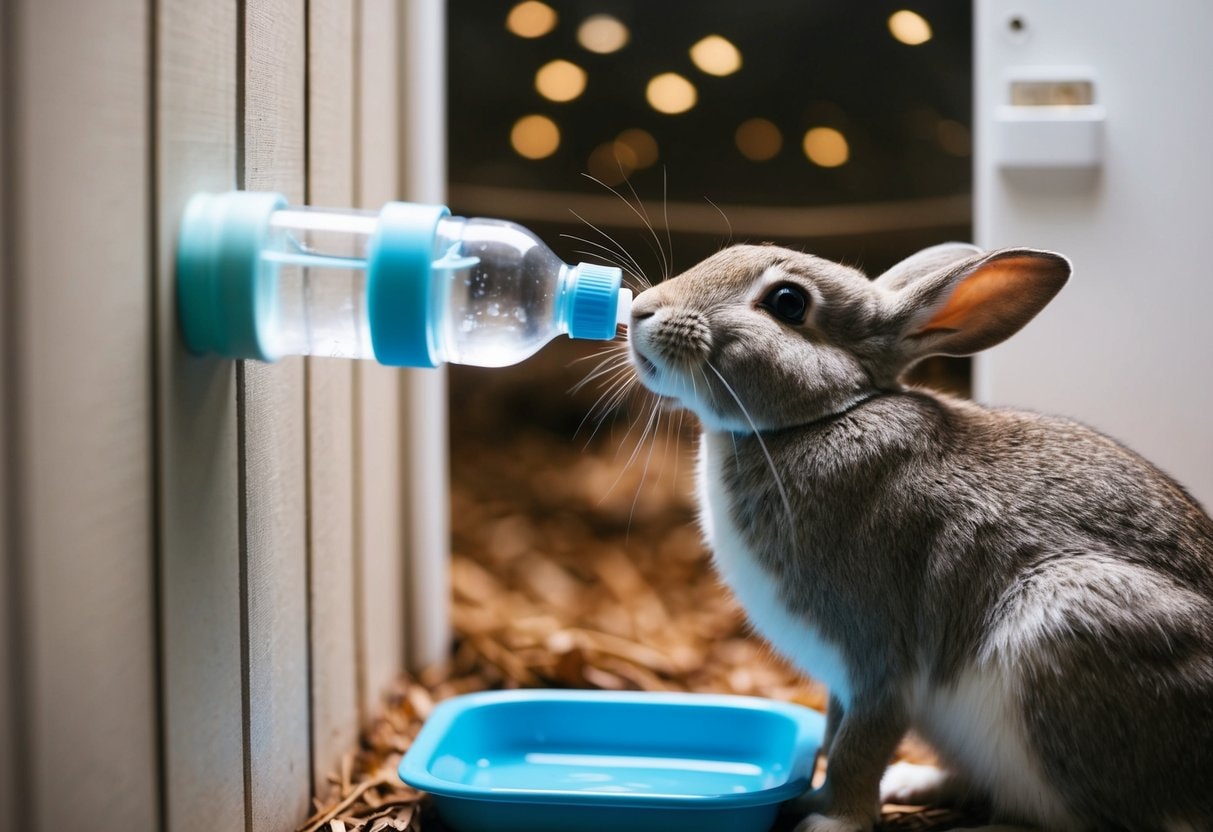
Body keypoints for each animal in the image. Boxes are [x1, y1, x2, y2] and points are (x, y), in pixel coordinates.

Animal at [625, 242, 1213, 832]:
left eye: (787, 303)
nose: (641, 311)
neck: (828, 414)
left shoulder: (878, 655)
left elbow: (858, 744)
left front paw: (832, 822)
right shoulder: (842, 680)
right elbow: (836, 733)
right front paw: (814, 802)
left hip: (1070, 626)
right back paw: (913, 783)